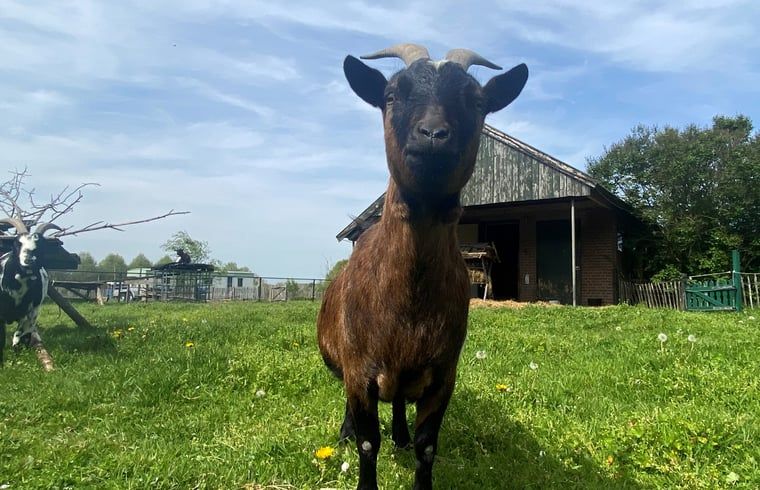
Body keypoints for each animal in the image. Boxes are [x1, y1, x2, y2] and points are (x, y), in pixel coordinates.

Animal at [317, 44, 528, 489]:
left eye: (477, 101)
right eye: (391, 95)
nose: (432, 134)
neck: (407, 305)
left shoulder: (442, 376)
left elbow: (426, 446)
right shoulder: (359, 372)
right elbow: (367, 444)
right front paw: (358, 452)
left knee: (398, 402)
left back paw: (398, 434)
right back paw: (346, 433)